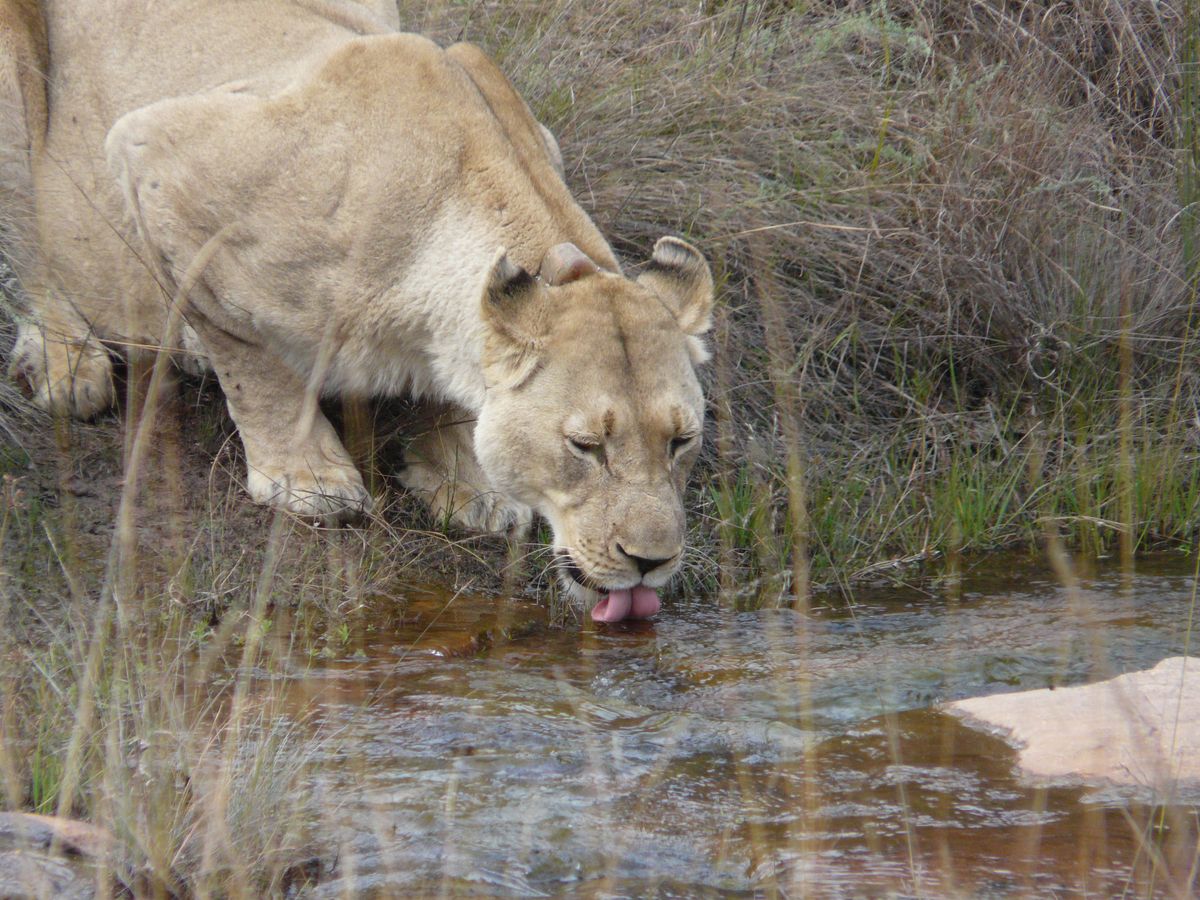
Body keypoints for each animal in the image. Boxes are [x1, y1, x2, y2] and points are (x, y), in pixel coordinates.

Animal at [0, 0, 714, 622]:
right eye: (584, 446)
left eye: (681, 440)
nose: (651, 562)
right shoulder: (157, 158)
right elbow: (251, 360)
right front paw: (308, 478)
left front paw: (466, 480)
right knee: (33, 237)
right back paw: (67, 361)